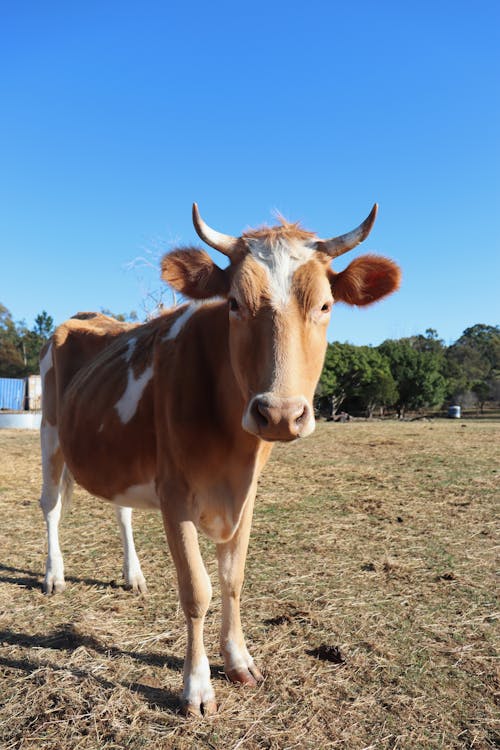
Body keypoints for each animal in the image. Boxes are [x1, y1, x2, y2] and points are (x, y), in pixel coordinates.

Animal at [39, 204, 400, 716]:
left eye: (326, 305)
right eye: (233, 303)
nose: (279, 413)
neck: (233, 448)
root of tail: (84, 316)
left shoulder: (246, 494)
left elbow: (233, 579)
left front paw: (239, 661)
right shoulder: (174, 494)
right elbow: (197, 589)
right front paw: (197, 686)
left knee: (122, 510)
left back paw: (133, 575)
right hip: (49, 433)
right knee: (51, 506)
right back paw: (54, 575)